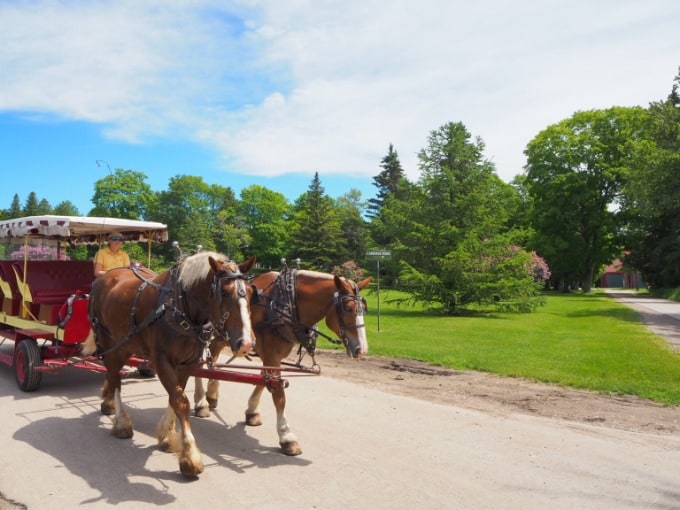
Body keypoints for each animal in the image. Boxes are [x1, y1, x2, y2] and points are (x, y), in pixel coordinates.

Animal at [82, 252, 256, 478]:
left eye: (251, 293)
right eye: (225, 293)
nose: (246, 343)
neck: (179, 306)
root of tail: (103, 278)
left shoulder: (186, 363)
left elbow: (175, 398)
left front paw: (166, 436)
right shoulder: (162, 361)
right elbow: (180, 401)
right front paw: (190, 456)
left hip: (126, 343)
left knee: (113, 374)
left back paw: (108, 403)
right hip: (108, 340)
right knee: (114, 376)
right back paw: (121, 422)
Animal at [194, 264, 370, 456]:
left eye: (363, 308)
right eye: (348, 307)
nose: (362, 350)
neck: (287, 304)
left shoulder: (271, 355)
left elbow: (264, 380)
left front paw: (252, 412)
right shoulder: (271, 353)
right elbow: (279, 395)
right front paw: (287, 436)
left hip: (223, 337)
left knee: (213, 353)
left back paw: (211, 395)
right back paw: (201, 402)